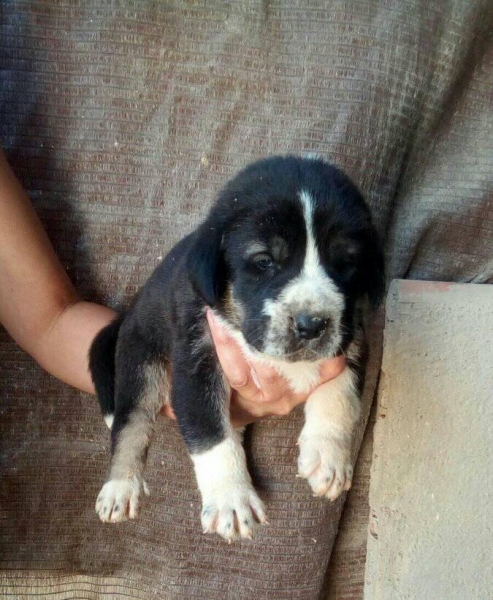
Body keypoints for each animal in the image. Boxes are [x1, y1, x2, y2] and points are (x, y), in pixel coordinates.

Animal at [89, 155, 384, 544]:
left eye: (345, 263)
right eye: (264, 261)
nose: (311, 325)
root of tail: (129, 313)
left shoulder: (352, 337)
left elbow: (340, 396)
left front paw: (328, 456)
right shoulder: (196, 363)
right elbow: (211, 435)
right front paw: (231, 498)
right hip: (141, 363)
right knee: (130, 424)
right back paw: (120, 487)